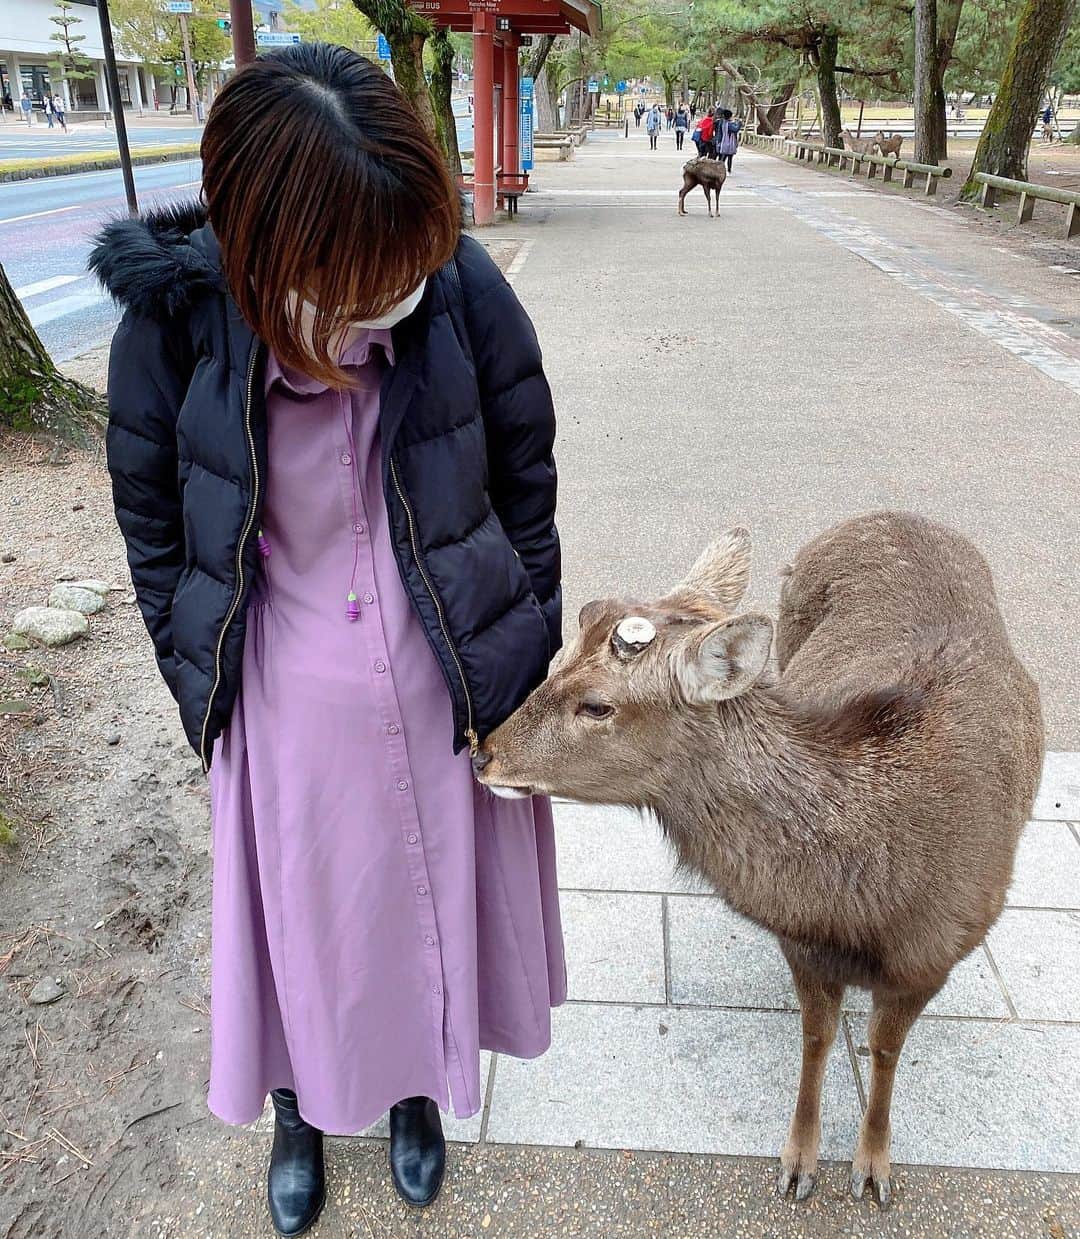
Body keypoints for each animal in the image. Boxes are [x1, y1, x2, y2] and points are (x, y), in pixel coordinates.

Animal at [473, 512, 1043, 1208]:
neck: (860, 905)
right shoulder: (801, 944)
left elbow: (883, 1050)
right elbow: (817, 1037)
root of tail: (896, 516)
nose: (484, 754)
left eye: (598, 705)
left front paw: (873, 1166)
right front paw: (798, 1161)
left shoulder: (938, 953)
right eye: (556, 663)